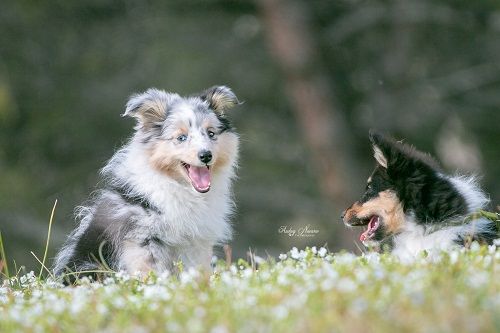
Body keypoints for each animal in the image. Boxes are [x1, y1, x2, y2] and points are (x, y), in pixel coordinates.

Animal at [53, 85, 241, 278]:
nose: (206, 155)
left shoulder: (197, 243)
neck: (180, 187)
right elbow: (150, 274)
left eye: (211, 133)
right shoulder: (143, 241)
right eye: (181, 138)